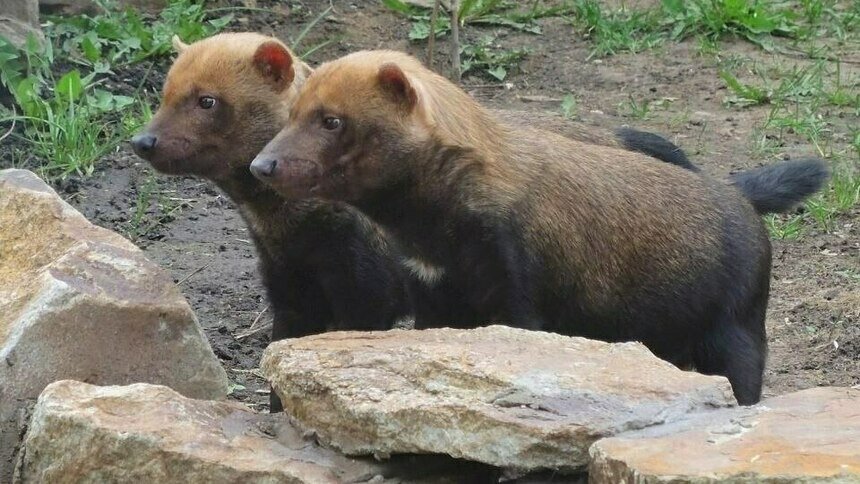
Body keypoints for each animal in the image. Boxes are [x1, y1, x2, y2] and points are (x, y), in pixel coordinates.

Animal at [252, 50, 828, 404]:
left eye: (332, 119)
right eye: (293, 111)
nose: (263, 165)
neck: (437, 236)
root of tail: (740, 197)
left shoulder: (519, 291)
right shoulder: (432, 298)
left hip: (735, 331)